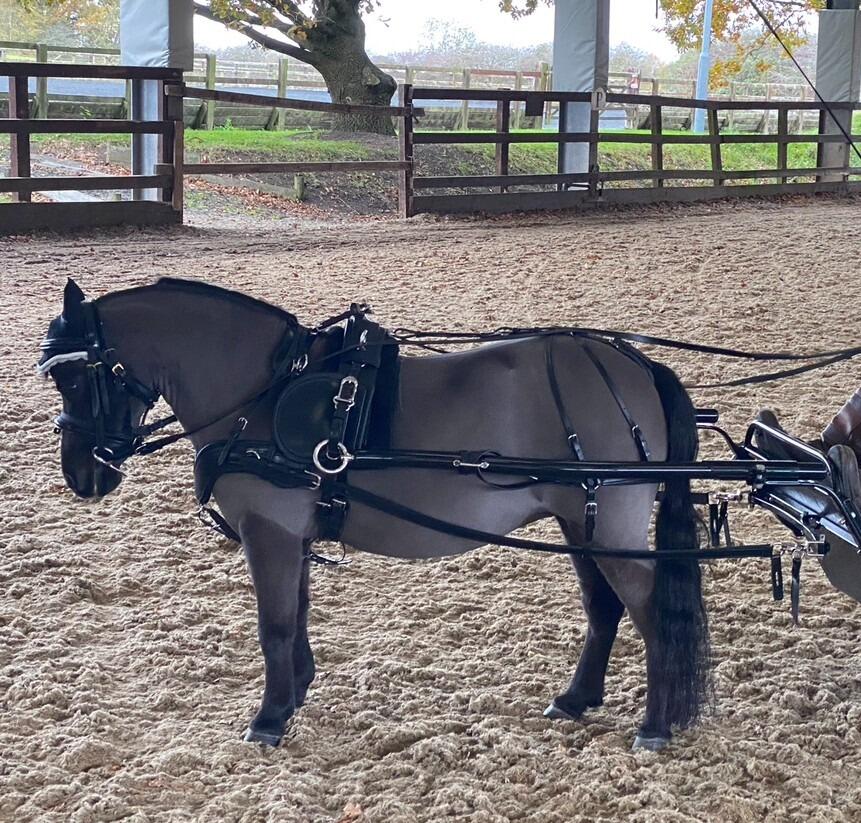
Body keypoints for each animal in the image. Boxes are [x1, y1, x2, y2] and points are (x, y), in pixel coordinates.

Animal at [38, 277, 710, 751]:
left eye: (74, 380)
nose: (82, 476)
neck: (263, 395)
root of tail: (634, 364)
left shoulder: (269, 532)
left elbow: (273, 624)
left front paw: (269, 718)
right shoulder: (293, 534)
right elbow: (297, 615)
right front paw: (296, 693)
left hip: (611, 526)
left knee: (652, 612)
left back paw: (654, 726)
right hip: (582, 521)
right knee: (604, 608)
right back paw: (576, 698)